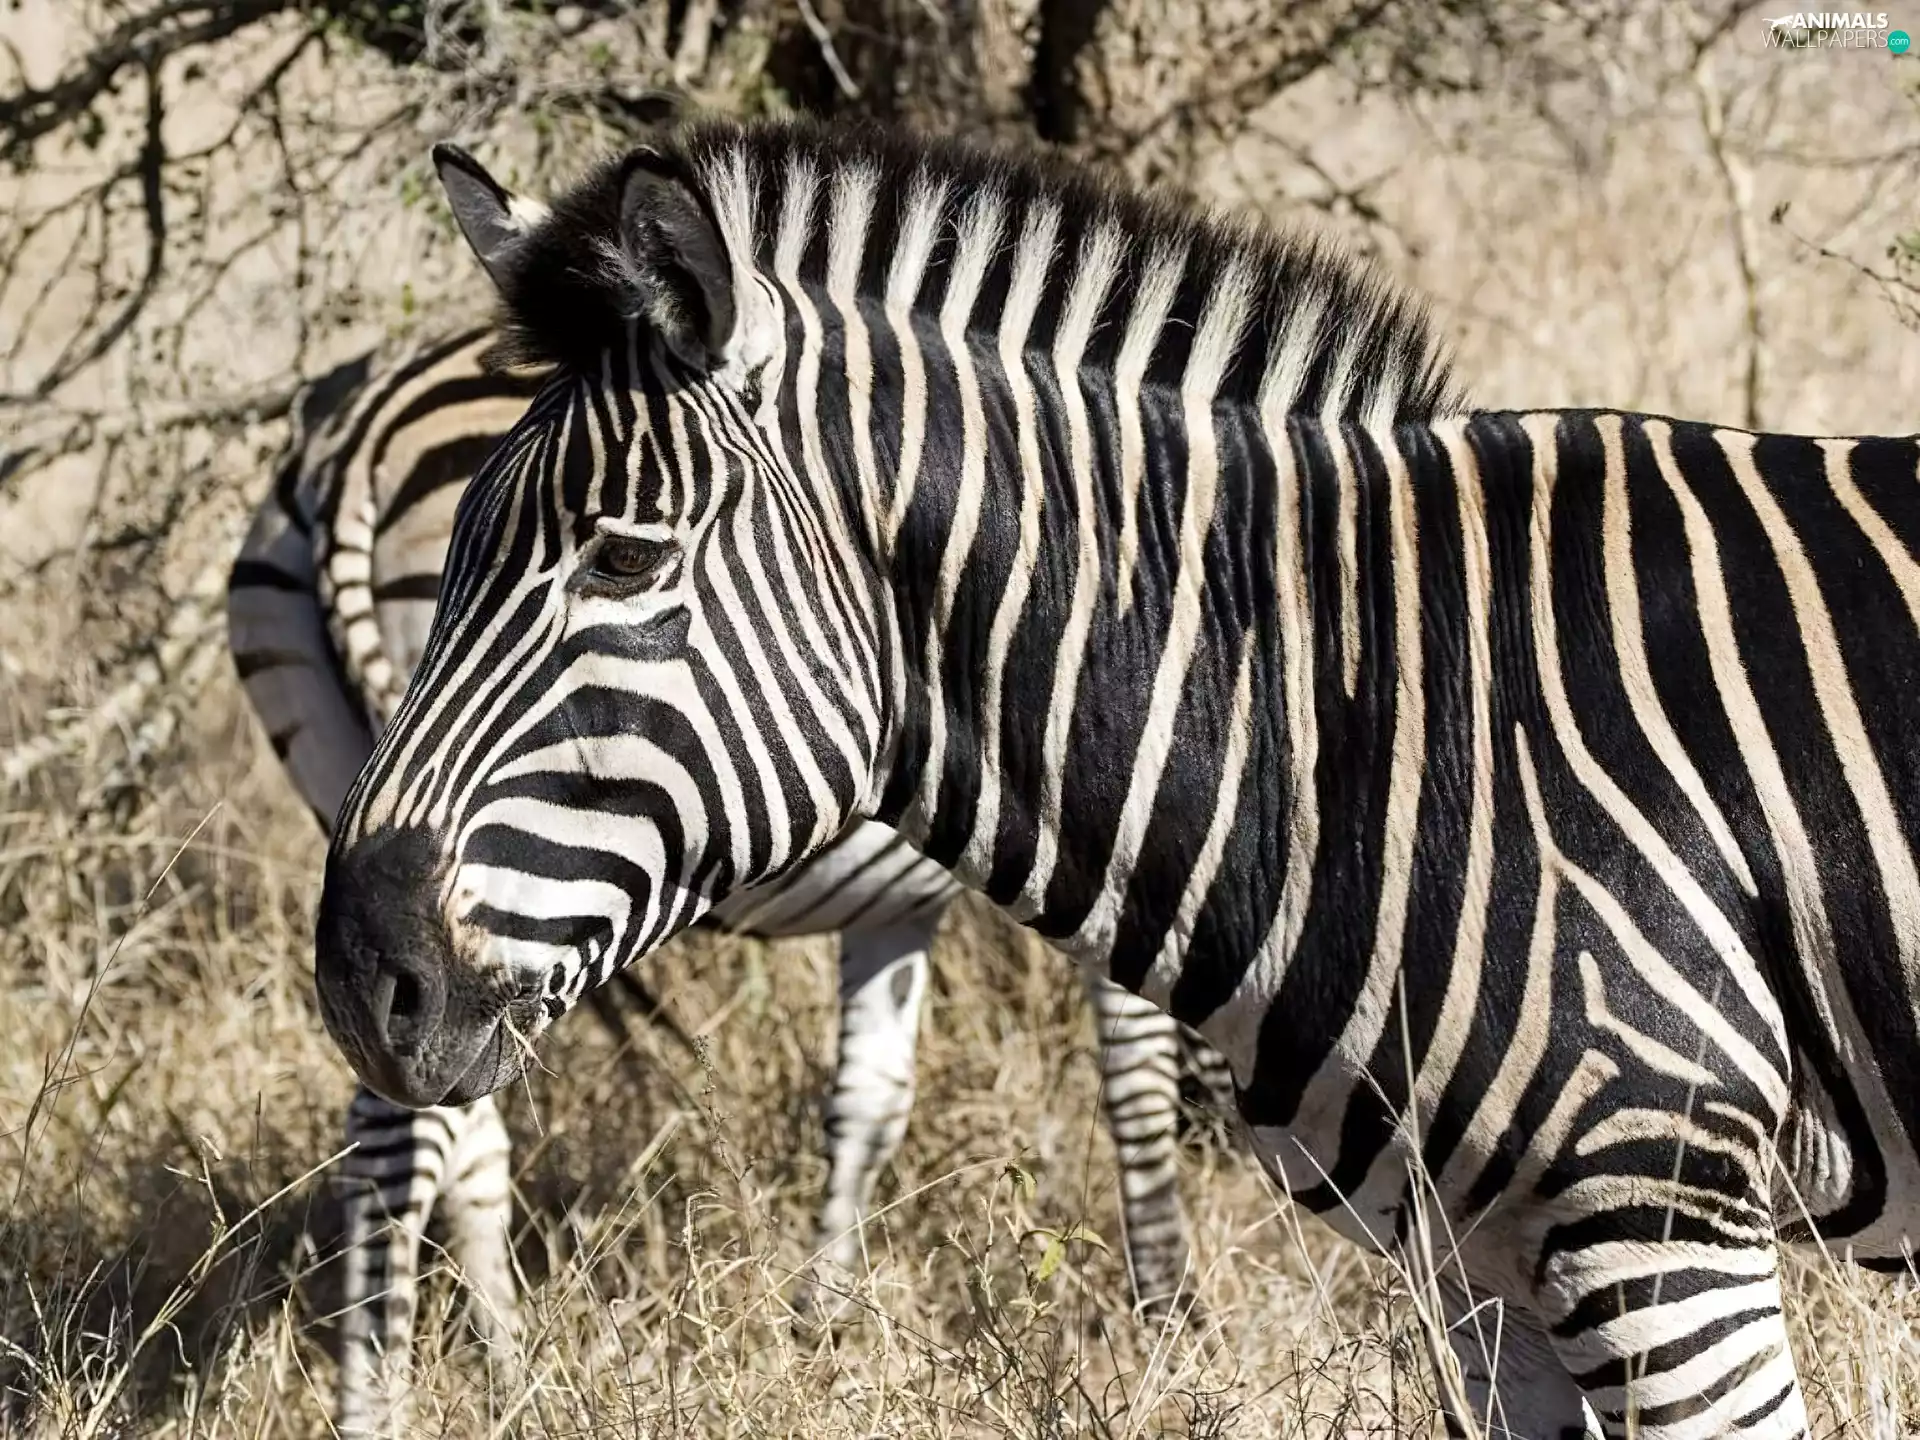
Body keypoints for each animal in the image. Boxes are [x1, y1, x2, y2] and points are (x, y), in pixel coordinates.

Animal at [226, 324, 1235, 1433]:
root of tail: (352, 438)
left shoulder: (901, 905)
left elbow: (869, 1099)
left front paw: (824, 1324)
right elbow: (1135, 1075)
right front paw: (1170, 1317)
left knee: (455, 1124)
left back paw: (514, 1375)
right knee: (402, 1136)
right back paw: (385, 1405)